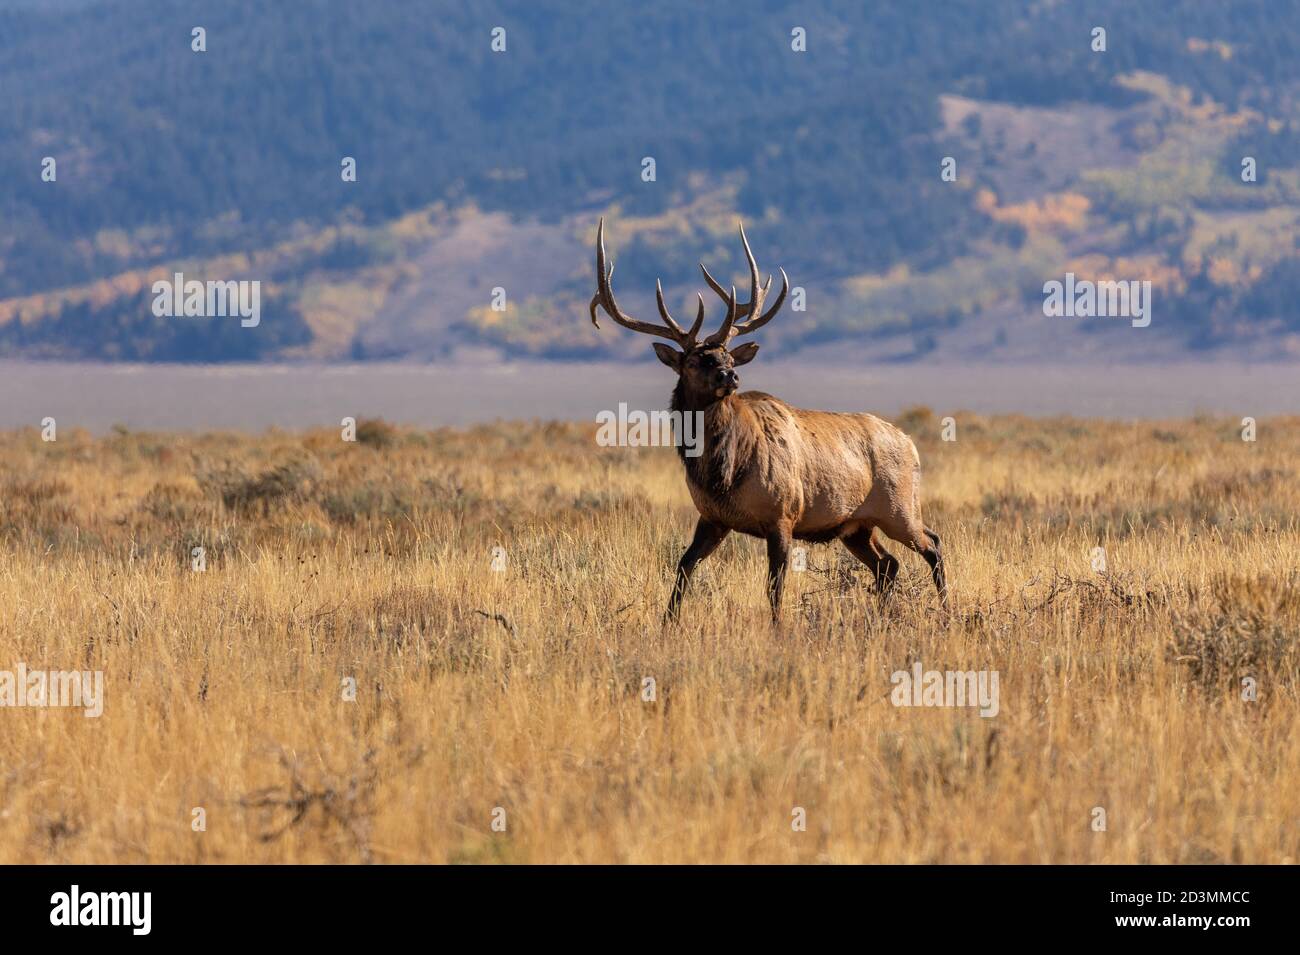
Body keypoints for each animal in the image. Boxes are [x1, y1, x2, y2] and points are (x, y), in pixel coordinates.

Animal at [588, 218, 948, 623]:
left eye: (728, 355)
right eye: (694, 361)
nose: (730, 375)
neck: (722, 472)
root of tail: (910, 443)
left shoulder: (782, 515)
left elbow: (774, 587)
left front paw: (778, 628)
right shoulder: (713, 517)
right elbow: (683, 566)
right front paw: (668, 622)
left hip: (899, 507)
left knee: (933, 544)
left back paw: (946, 610)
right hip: (855, 526)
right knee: (887, 564)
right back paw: (885, 616)